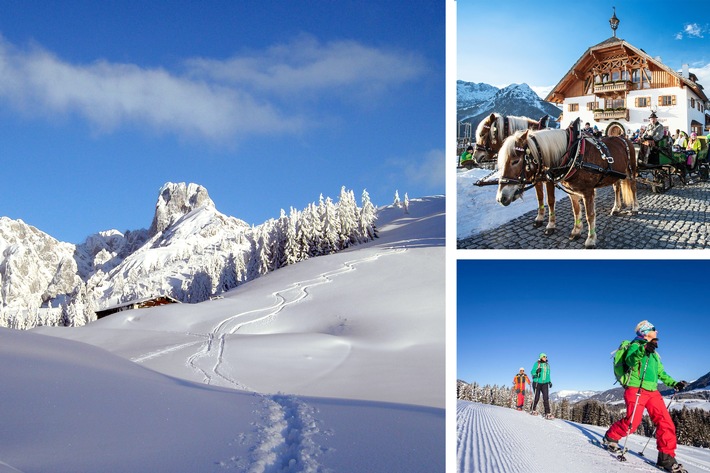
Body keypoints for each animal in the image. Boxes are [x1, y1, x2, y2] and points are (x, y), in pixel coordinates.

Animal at [498, 127, 644, 249]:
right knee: (616, 188)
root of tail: (623, 137)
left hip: (631, 170)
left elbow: (589, 215)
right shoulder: (572, 191)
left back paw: (635, 207)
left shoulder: (588, 192)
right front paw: (576, 231)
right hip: (615, 175)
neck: (575, 155)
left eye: (515, 161)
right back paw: (616, 208)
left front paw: (591, 239)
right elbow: (576, 211)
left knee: (633, 187)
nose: (501, 197)